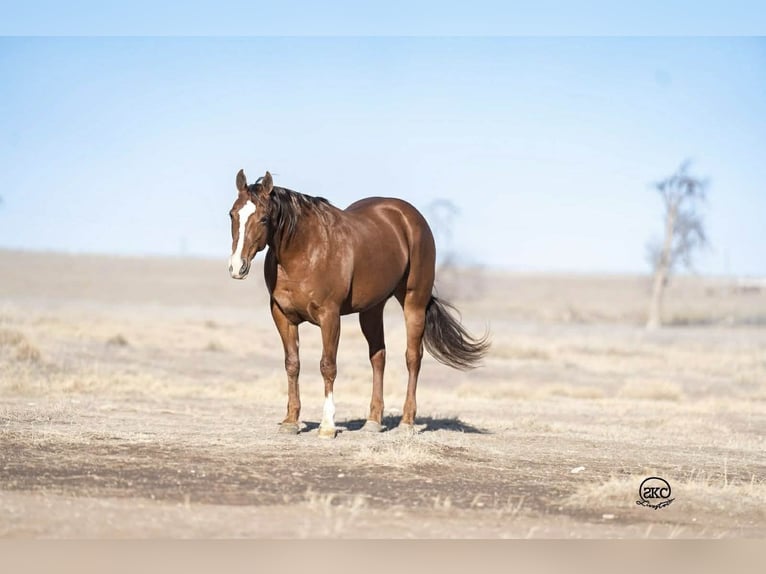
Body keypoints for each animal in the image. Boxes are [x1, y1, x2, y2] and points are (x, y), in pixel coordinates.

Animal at [228, 168, 489, 437]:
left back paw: (406, 422)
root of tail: (409, 216)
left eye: (264, 219)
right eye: (232, 214)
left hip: (414, 303)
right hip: (372, 310)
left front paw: (327, 426)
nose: (237, 267)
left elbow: (328, 366)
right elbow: (292, 364)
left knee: (413, 358)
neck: (304, 251)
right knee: (378, 357)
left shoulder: (329, 316)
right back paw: (373, 421)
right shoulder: (282, 316)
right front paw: (290, 421)